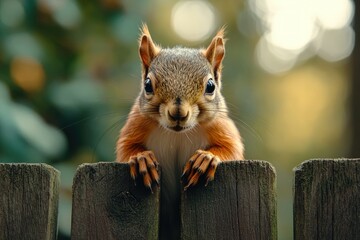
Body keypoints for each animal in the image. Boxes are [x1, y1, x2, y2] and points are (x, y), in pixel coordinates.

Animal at [115, 24, 245, 238]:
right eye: (147, 85)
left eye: (211, 86)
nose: (178, 113)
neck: (178, 135)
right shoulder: (135, 126)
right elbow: (126, 149)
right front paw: (142, 159)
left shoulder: (222, 128)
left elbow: (231, 149)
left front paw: (206, 159)